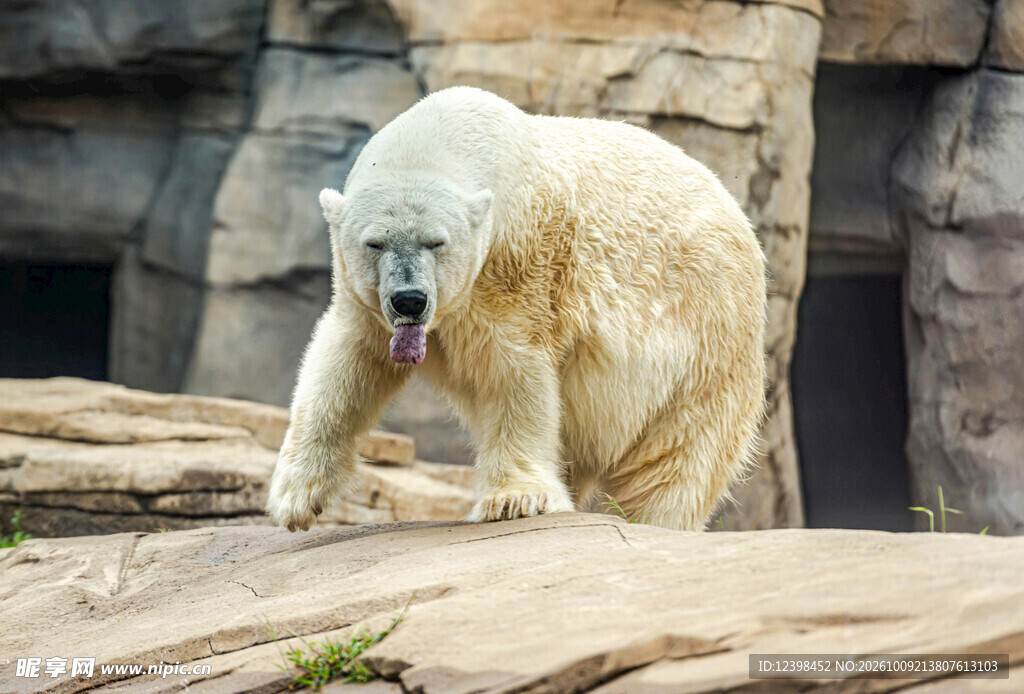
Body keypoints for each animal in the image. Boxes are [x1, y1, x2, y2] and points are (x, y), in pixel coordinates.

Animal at [266, 86, 766, 532]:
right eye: (375, 242)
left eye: (436, 242)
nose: (410, 299)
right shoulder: (366, 304)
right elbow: (348, 363)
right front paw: (296, 498)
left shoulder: (518, 266)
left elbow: (513, 371)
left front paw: (514, 499)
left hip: (707, 337)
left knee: (677, 456)